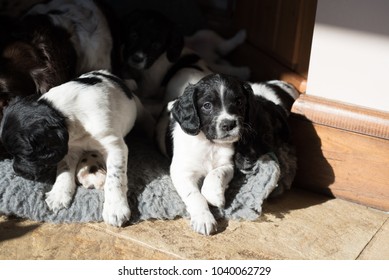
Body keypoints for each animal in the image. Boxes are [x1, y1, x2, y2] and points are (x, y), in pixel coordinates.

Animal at [155, 73, 250, 235]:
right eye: (207, 105)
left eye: (239, 102)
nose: (229, 125)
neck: (209, 144)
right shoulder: (182, 172)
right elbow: (195, 196)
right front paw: (204, 219)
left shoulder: (228, 164)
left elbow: (216, 174)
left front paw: (214, 195)